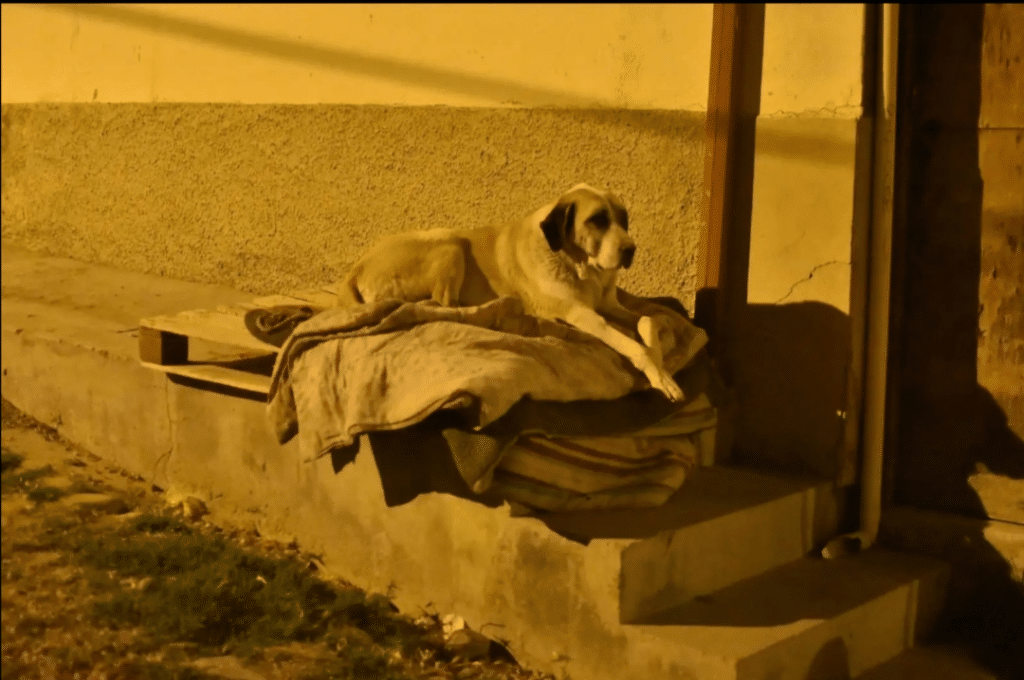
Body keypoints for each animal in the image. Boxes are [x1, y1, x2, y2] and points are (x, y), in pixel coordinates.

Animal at [336, 184, 685, 402]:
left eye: (624, 219)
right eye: (597, 220)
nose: (630, 250)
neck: (574, 262)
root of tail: (356, 268)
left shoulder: (609, 305)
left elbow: (651, 319)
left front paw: (661, 361)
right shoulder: (582, 314)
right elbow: (633, 345)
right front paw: (659, 373)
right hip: (450, 242)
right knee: (443, 305)